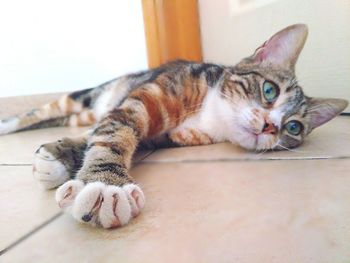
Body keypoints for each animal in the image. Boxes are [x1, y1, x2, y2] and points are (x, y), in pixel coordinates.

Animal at [0, 24, 346, 229]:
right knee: (40, 112)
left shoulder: (168, 137)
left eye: (293, 128)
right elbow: (114, 130)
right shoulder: (146, 96)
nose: (270, 127)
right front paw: (104, 183)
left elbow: (106, 132)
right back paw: (8, 124)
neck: (209, 111)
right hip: (83, 96)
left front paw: (64, 156)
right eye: (270, 90)